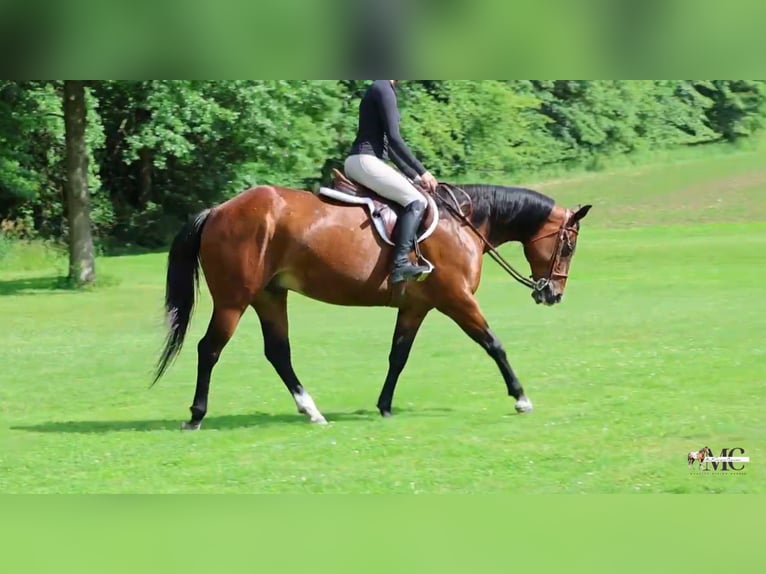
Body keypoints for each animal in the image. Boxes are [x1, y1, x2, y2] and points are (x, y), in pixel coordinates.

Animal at [152, 170, 592, 430]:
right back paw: (196, 416)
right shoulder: (456, 299)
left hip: (270, 295)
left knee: (278, 352)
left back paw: (312, 411)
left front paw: (383, 405)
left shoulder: (416, 306)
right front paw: (521, 398)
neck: (463, 223)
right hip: (234, 299)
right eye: (569, 245)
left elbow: (398, 356)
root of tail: (217, 210)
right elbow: (494, 344)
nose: (552, 293)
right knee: (209, 349)